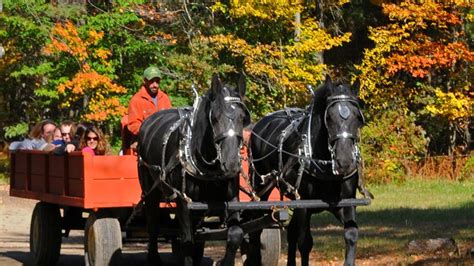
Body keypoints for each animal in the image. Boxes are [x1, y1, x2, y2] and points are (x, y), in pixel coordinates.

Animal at [137, 74, 250, 264]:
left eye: (243, 117)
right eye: (215, 117)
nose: (232, 163)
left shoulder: (232, 198)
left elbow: (235, 234)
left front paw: (223, 261)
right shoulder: (184, 203)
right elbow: (187, 242)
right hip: (150, 190)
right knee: (153, 226)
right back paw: (153, 258)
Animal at [246, 76, 364, 264]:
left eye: (358, 118)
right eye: (329, 117)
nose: (345, 161)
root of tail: (259, 125)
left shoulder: (347, 201)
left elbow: (351, 234)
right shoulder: (303, 203)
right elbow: (305, 242)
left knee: (290, 231)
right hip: (261, 189)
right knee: (256, 226)